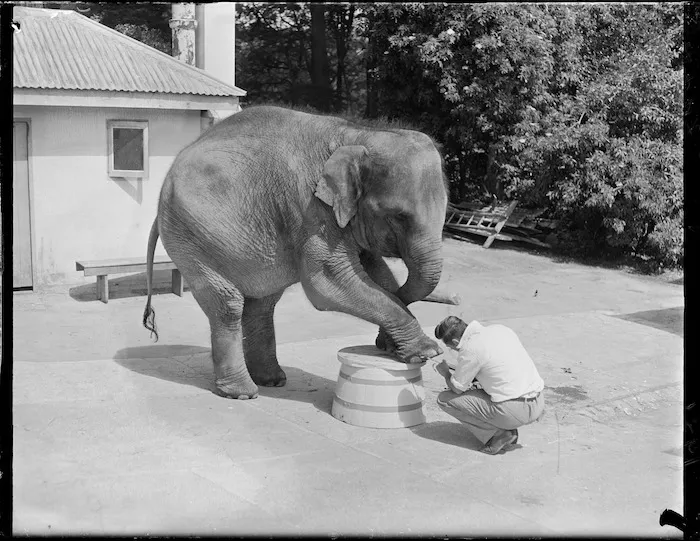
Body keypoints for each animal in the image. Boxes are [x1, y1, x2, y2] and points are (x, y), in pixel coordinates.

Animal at [142, 105, 449, 400]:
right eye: (398, 216)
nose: (383, 346)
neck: (358, 133)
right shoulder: (309, 208)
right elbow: (327, 282)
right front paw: (427, 352)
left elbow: (376, 271)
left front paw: (393, 347)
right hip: (190, 235)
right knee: (229, 305)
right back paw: (242, 393)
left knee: (262, 303)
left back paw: (272, 381)